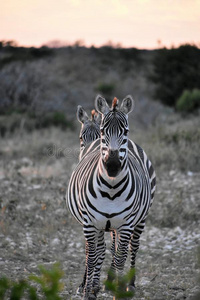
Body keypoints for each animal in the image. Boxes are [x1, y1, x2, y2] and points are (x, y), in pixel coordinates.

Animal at [67, 95, 156, 298]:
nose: (113, 166)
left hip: (141, 219)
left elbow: (119, 256)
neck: (111, 188)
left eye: (126, 131)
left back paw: (129, 284)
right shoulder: (91, 223)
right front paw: (88, 288)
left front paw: (116, 289)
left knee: (133, 246)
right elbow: (93, 255)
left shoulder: (126, 224)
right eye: (81, 137)